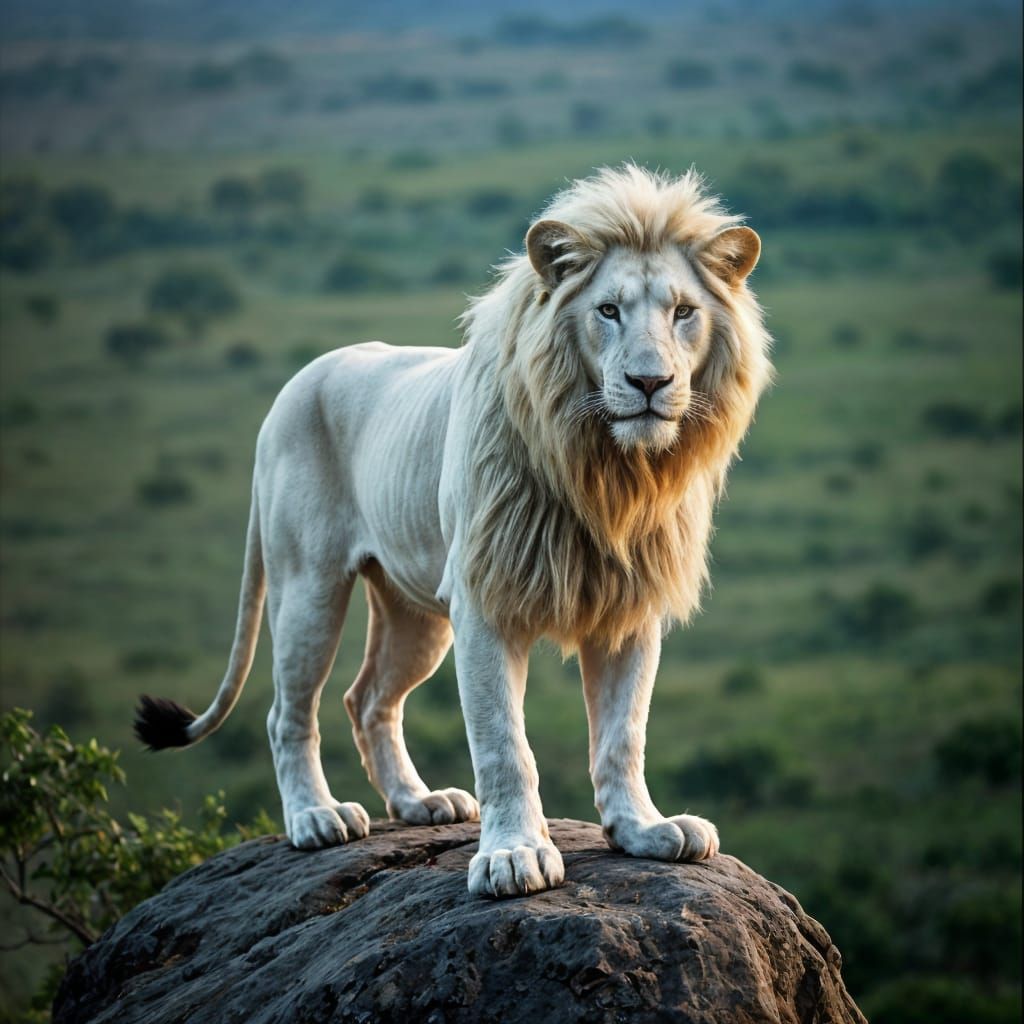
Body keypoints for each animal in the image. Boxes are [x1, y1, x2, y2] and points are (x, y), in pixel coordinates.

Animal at [135, 164, 772, 898]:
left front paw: (644, 830)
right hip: (307, 586)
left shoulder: (630, 607)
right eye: (608, 310)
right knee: (288, 711)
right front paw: (514, 855)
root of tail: (295, 383)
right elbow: (503, 745)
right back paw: (316, 818)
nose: (649, 382)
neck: (609, 471)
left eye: (683, 312)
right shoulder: (484, 603)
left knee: (367, 700)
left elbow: (623, 734)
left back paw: (418, 803)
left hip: (414, 613)